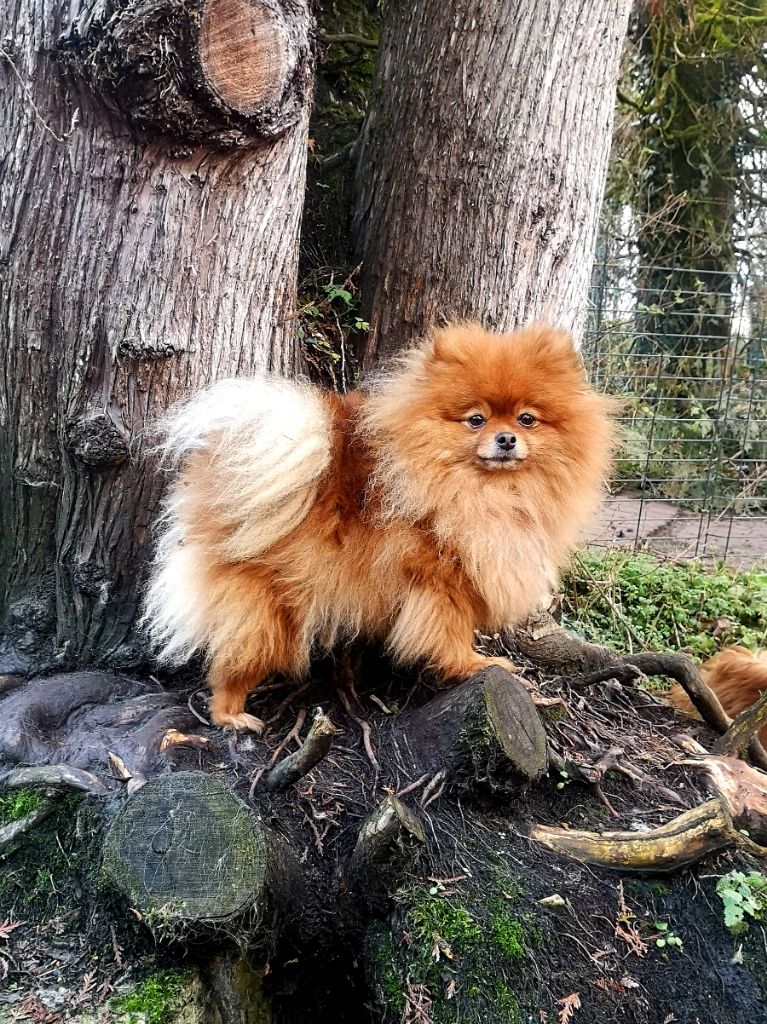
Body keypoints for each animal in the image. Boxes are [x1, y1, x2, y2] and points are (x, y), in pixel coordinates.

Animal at [143, 319, 618, 729]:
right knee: (233, 660)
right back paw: (231, 713)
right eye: (476, 419)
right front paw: (474, 665)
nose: (506, 439)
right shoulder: (440, 582)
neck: (488, 493)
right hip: (266, 607)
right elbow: (452, 632)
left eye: (527, 419)